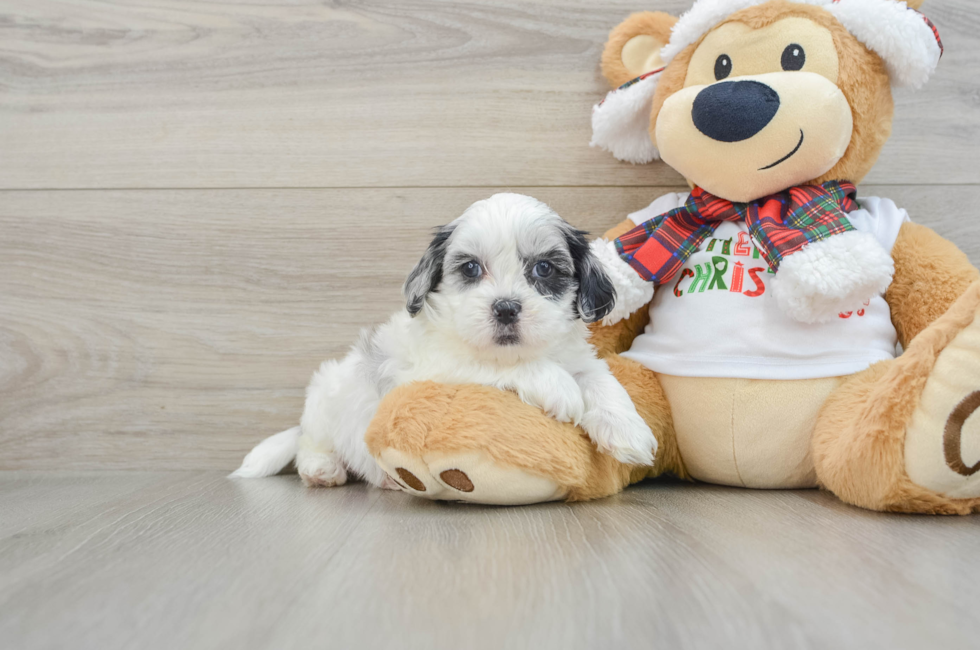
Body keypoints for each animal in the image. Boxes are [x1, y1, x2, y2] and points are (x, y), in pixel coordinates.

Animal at [234, 192, 656, 486]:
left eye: (544, 268)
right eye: (470, 268)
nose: (505, 307)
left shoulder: (578, 357)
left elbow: (601, 380)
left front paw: (629, 431)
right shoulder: (430, 371)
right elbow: (496, 365)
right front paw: (559, 387)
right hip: (328, 397)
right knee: (311, 442)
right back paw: (323, 468)